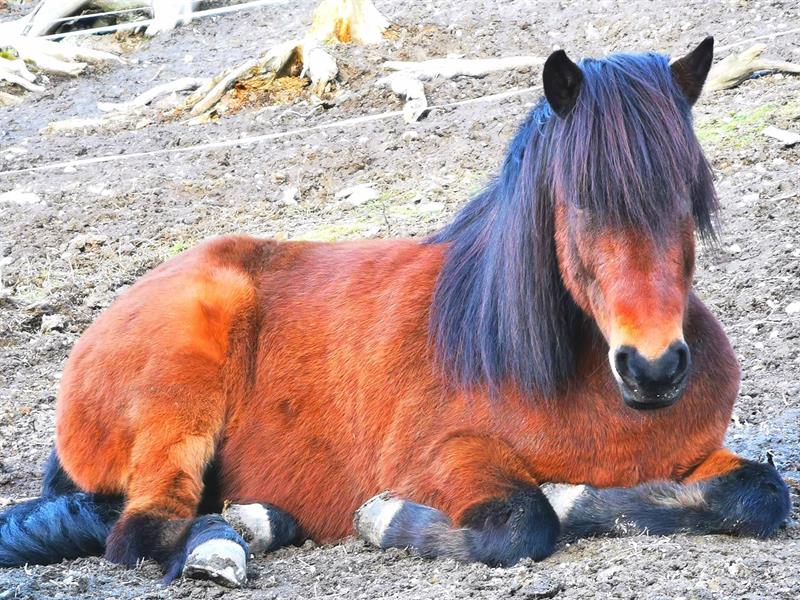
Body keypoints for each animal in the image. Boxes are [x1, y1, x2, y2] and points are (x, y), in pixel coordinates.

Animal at [0, 37, 791, 587]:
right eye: (581, 203)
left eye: (688, 196)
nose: (653, 369)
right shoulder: (446, 458)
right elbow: (525, 525)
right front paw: (388, 520)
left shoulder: (698, 455)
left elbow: (761, 492)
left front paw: (580, 498)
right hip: (180, 400)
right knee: (141, 532)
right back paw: (231, 541)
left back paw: (258, 522)